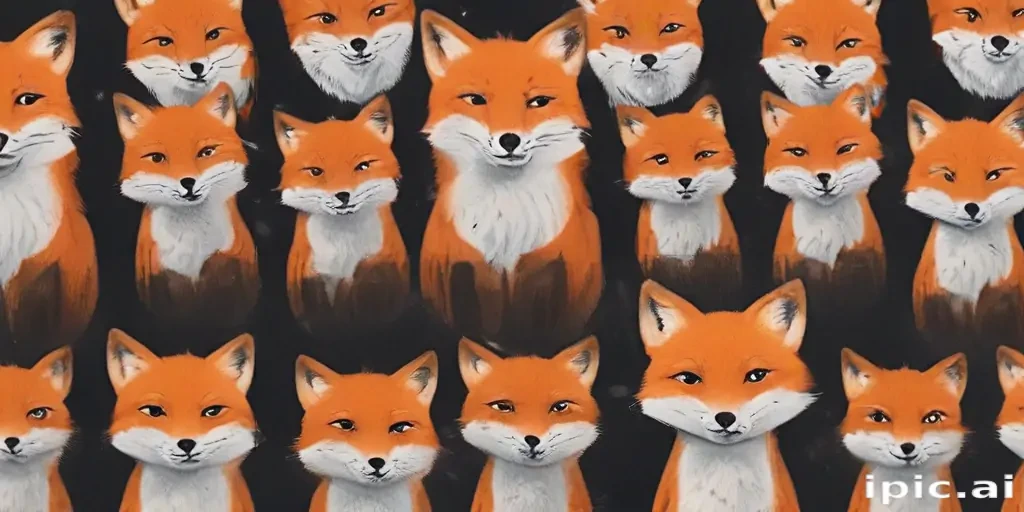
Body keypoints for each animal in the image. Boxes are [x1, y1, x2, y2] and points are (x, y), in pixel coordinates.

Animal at [418, 8, 603, 351]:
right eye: (476, 100)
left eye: (538, 102)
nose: (509, 140)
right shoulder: (475, 270)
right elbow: (488, 323)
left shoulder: (542, 270)